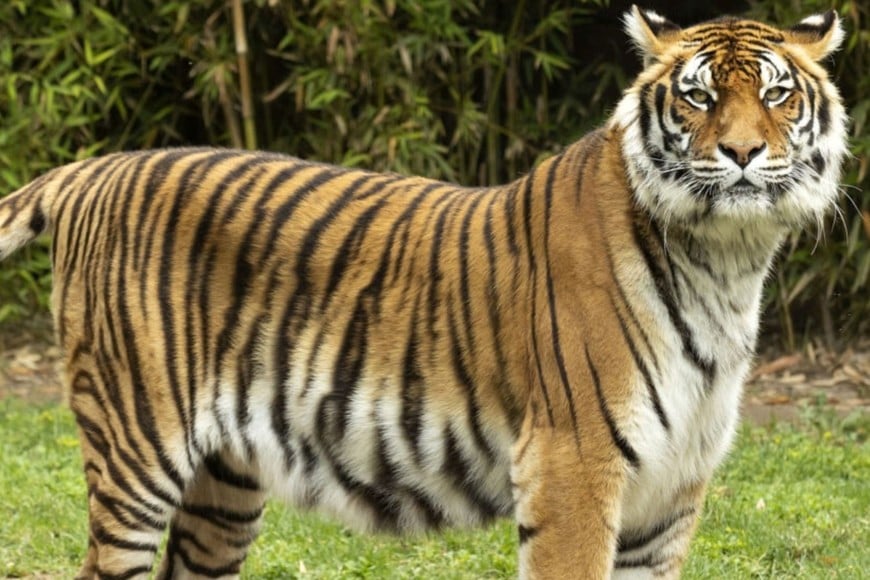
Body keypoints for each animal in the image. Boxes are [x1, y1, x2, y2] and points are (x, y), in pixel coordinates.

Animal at [0, 6, 847, 579]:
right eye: (698, 98)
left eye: (777, 95)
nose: (742, 152)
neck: (726, 260)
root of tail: (96, 168)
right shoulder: (573, 465)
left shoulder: (670, 492)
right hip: (138, 447)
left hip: (224, 484)